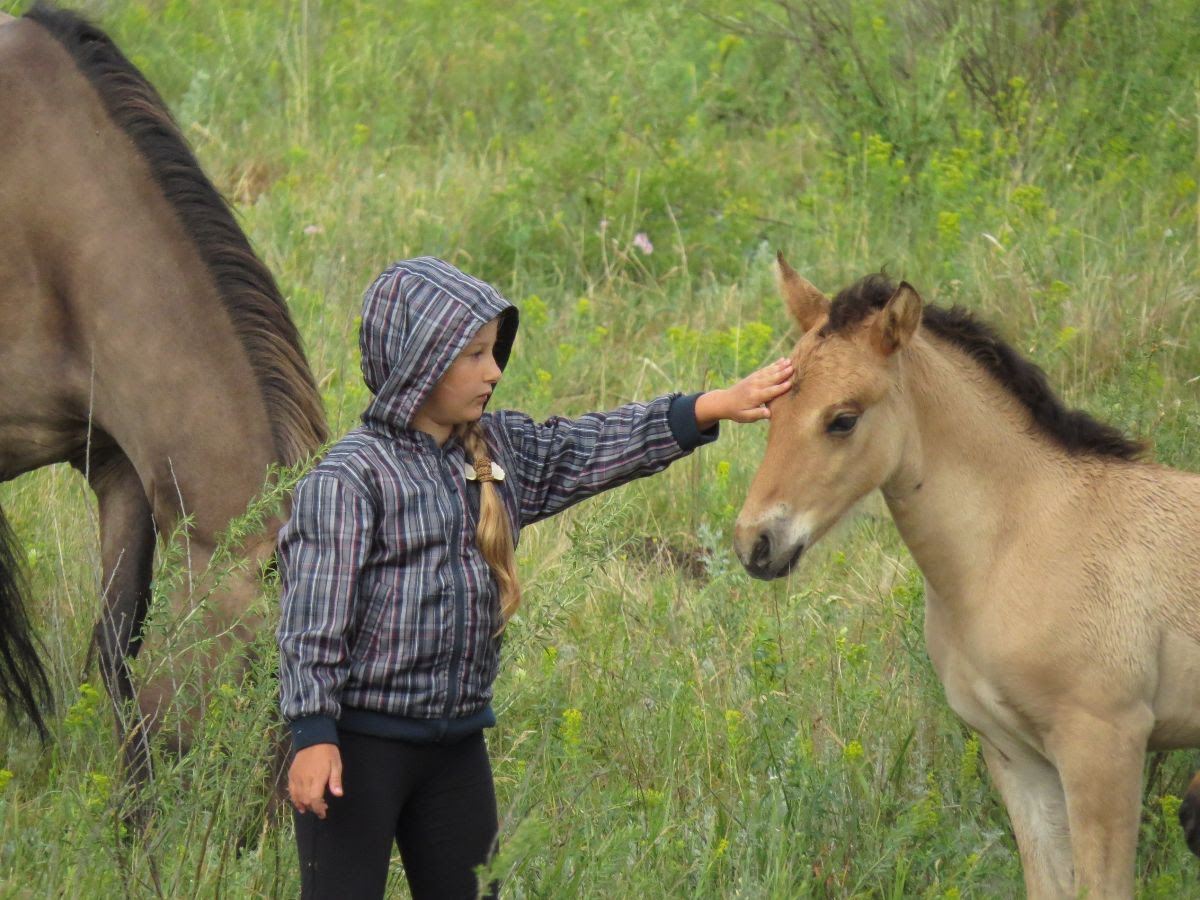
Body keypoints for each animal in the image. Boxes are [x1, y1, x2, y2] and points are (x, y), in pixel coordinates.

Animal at [729, 255, 1200, 900]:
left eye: (843, 419)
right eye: (770, 409)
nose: (756, 544)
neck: (1022, 539)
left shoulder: (1105, 745)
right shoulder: (1016, 757)